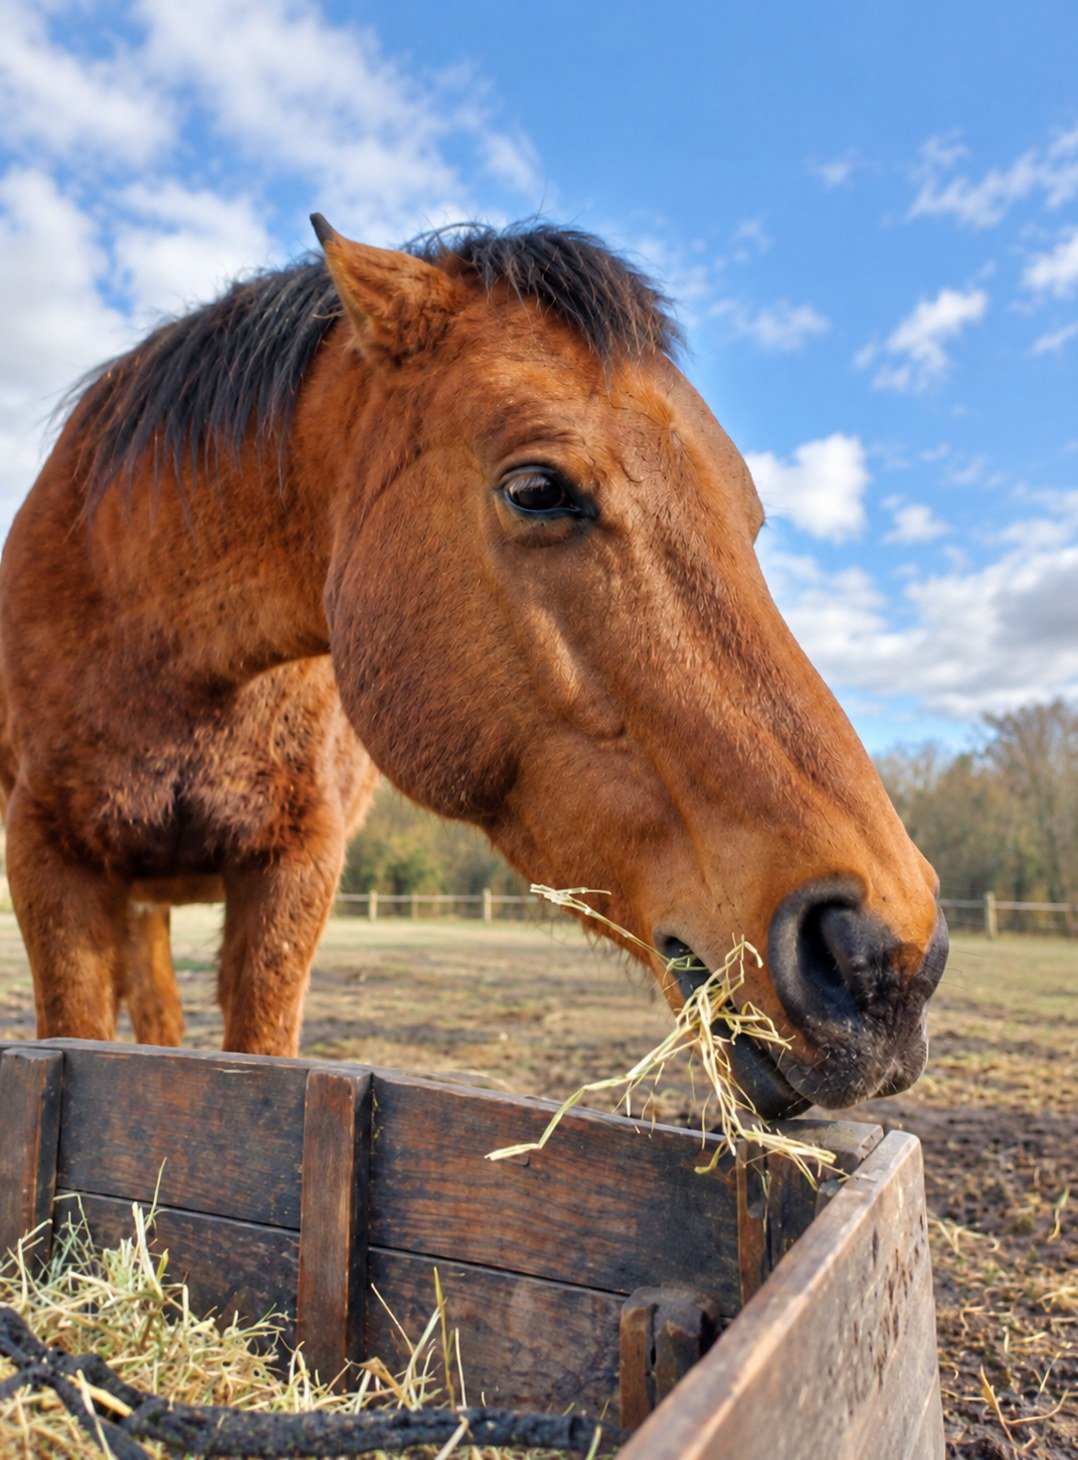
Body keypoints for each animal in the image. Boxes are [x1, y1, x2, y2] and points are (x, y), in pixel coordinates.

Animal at [0, 217, 947, 1115]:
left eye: (750, 518)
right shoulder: (50, 866)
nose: (887, 957)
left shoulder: (292, 877)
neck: (165, 650)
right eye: (538, 489)